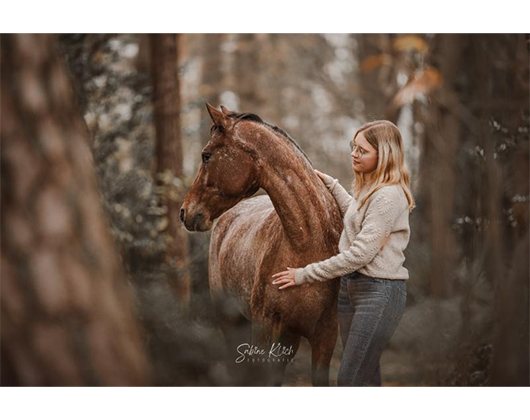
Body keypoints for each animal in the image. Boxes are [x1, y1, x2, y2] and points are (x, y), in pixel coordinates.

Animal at [179, 103, 340, 386]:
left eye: (206, 155)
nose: (185, 212)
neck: (307, 244)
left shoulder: (325, 335)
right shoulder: (264, 327)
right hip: (231, 323)